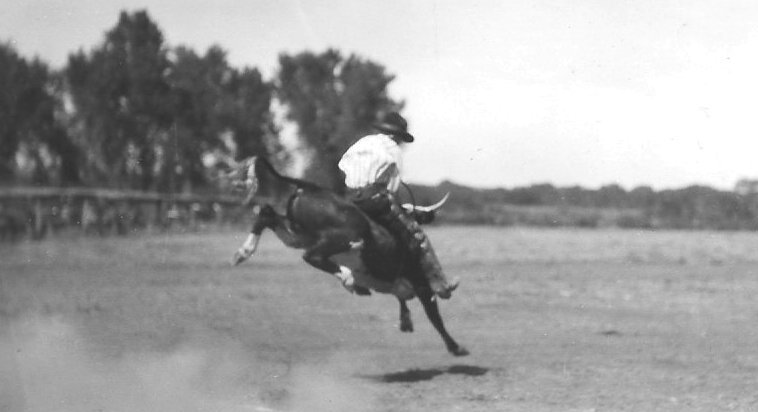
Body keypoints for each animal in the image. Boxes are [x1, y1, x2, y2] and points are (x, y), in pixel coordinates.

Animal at [221, 156, 470, 356]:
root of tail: (306, 187)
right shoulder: (421, 284)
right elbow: (434, 316)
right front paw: (456, 347)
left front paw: (407, 320)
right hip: (342, 237)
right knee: (312, 256)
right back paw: (349, 279)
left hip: (298, 234)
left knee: (267, 214)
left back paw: (242, 253)